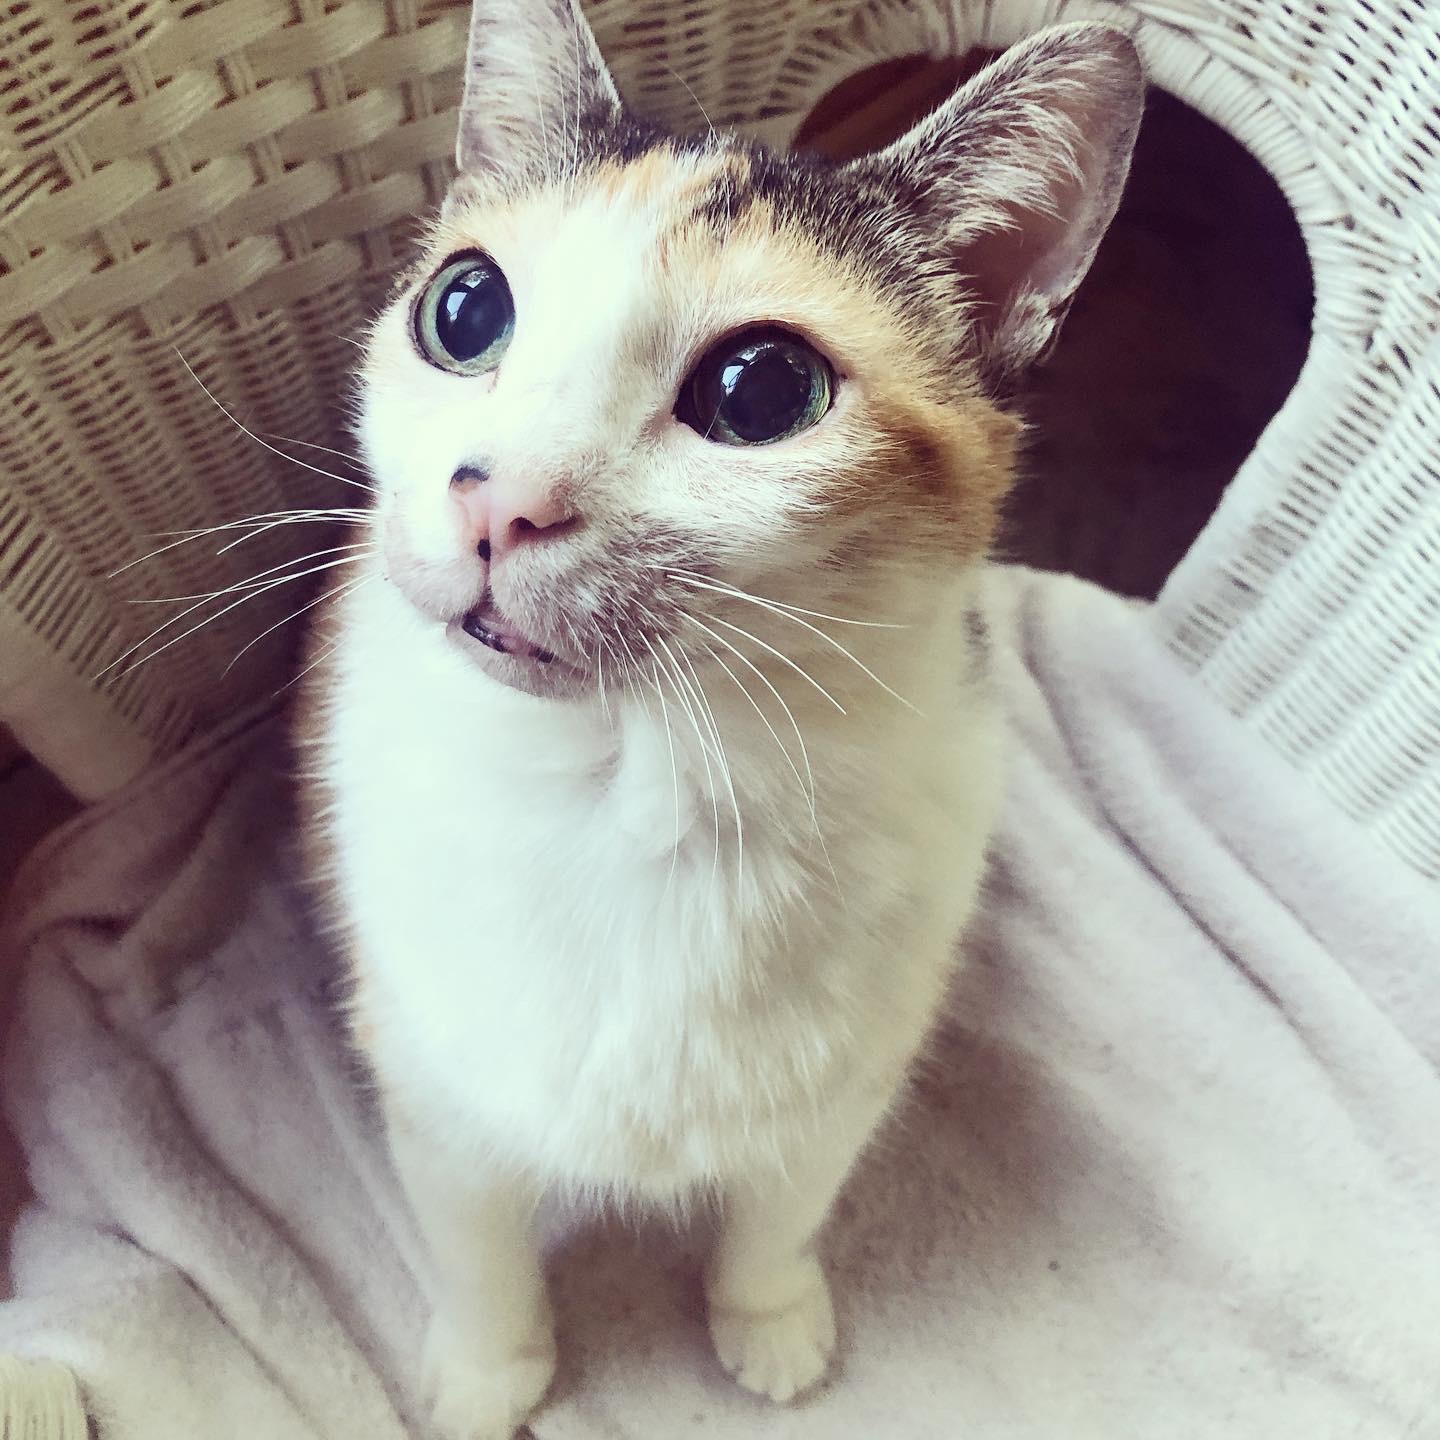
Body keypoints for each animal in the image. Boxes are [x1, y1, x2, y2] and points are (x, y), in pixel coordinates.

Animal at [298, 3, 1141, 1436]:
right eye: (465, 309)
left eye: (762, 390)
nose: (500, 500)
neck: (631, 786)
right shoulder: (431, 1082)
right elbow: (477, 1243)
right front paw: (491, 1370)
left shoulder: (847, 1079)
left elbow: (780, 1208)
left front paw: (769, 1320)